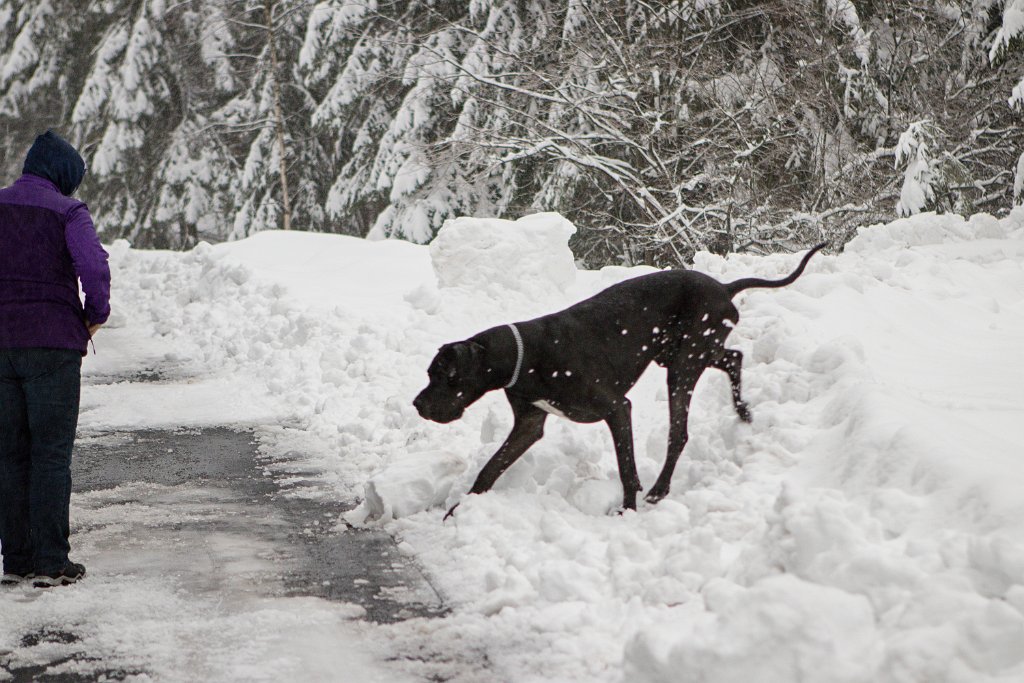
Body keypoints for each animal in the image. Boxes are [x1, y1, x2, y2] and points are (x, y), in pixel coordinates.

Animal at [413, 242, 823, 516]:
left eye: (444, 375)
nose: (417, 404)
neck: (523, 357)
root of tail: (724, 288)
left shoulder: (615, 408)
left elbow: (626, 467)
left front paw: (627, 509)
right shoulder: (529, 423)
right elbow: (489, 469)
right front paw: (458, 512)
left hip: (684, 364)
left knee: (679, 433)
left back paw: (659, 490)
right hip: (688, 354)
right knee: (735, 357)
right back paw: (743, 411)